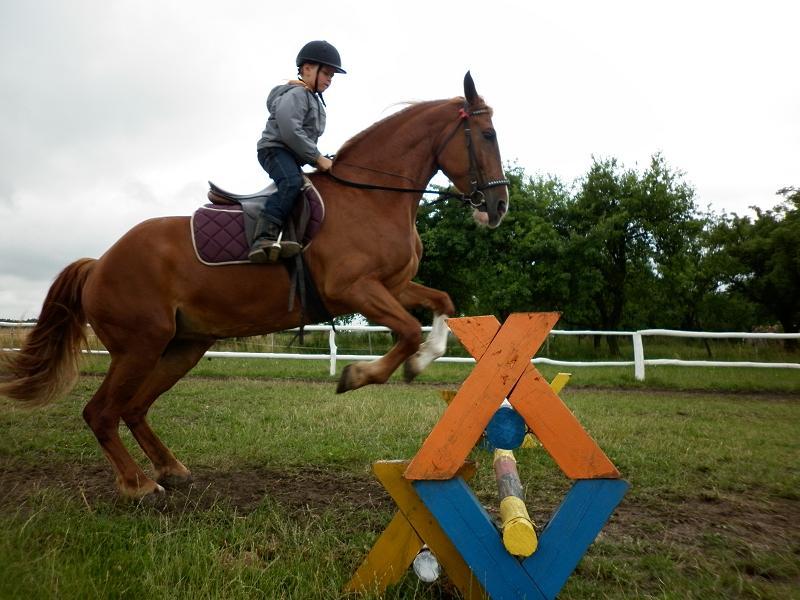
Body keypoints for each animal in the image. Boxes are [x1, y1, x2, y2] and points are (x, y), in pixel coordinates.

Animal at [0, 72, 510, 500]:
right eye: (487, 135)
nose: (499, 206)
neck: (371, 198)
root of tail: (99, 263)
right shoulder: (354, 289)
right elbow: (404, 331)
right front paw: (358, 375)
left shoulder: (395, 284)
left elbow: (441, 302)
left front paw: (423, 360)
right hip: (139, 347)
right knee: (101, 412)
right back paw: (139, 485)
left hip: (181, 347)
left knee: (134, 409)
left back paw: (171, 469)